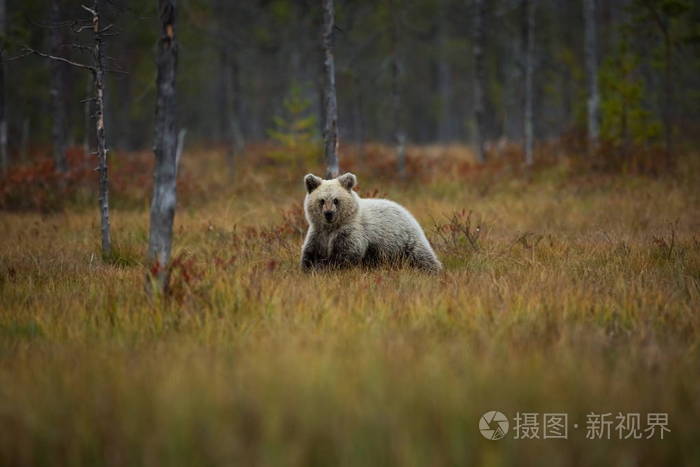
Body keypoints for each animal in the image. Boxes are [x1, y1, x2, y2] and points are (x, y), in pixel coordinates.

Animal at [300, 173, 442, 274]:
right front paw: (309, 269)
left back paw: (433, 271)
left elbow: (345, 254)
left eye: (336, 200)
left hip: (404, 241)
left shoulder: (351, 233)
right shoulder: (318, 234)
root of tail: (408, 212)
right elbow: (310, 253)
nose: (329, 214)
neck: (331, 228)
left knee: (422, 257)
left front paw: (330, 267)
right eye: (322, 200)